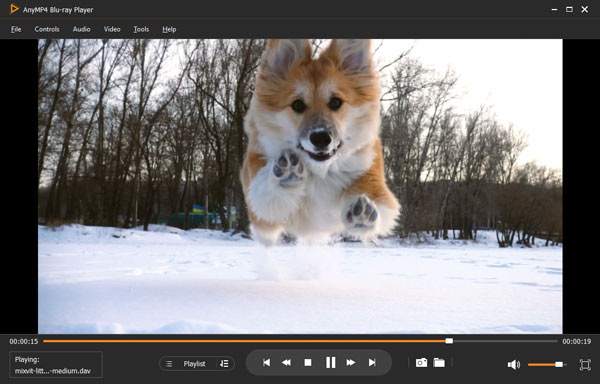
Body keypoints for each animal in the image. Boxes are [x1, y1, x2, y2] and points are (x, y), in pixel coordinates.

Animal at [239, 39, 398, 246]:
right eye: (297, 105)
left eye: (336, 102)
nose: (321, 137)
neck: (320, 173)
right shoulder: (261, 211)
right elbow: (265, 196)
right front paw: (286, 173)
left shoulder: (369, 168)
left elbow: (376, 198)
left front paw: (361, 213)